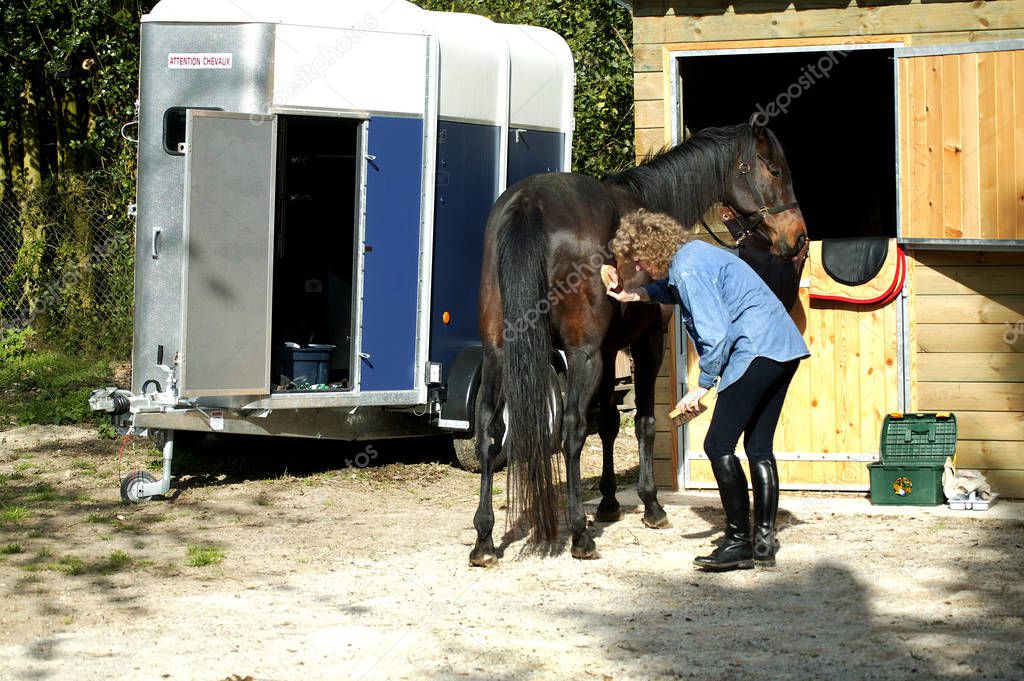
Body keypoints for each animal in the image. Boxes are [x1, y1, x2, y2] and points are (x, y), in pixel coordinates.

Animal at [468, 118, 806, 561]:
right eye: (776, 170)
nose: (798, 238)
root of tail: (529, 203)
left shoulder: (611, 351)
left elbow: (612, 422)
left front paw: (610, 503)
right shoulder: (645, 346)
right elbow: (644, 422)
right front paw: (651, 504)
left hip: (498, 353)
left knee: (489, 430)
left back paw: (485, 539)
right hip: (580, 355)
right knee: (572, 429)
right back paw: (579, 534)